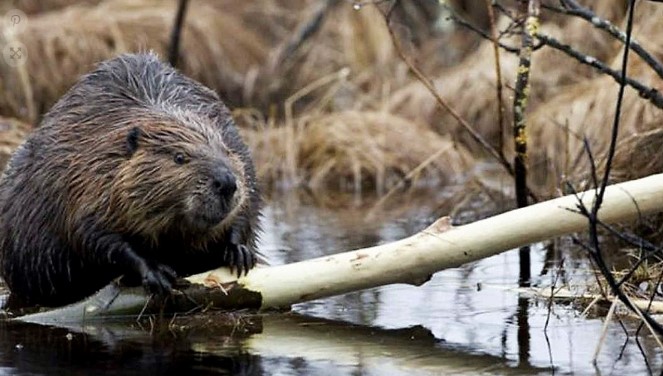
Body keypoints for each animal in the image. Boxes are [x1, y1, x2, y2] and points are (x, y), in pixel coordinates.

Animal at [0, 52, 262, 306]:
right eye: (179, 157)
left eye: (226, 150)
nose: (226, 182)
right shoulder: (84, 180)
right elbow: (93, 235)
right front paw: (157, 272)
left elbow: (247, 207)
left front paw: (239, 251)